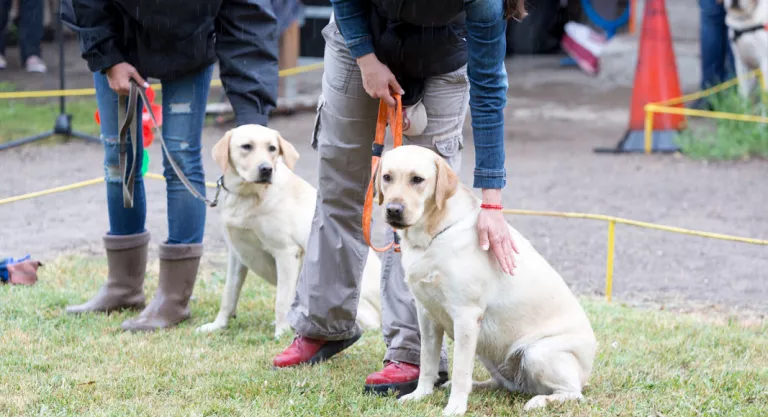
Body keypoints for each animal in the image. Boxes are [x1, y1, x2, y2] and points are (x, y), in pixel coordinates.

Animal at [195, 124, 380, 338]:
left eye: (272, 148)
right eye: (246, 146)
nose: (266, 169)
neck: (248, 195)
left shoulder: (286, 252)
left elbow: (281, 300)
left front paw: (281, 333)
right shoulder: (237, 254)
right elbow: (229, 294)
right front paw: (218, 325)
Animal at [376, 145, 596, 412]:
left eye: (417, 179)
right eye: (387, 177)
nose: (393, 210)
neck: (432, 236)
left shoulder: (466, 316)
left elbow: (460, 370)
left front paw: (455, 408)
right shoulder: (426, 315)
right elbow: (427, 361)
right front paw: (421, 394)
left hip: (536, 352)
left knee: (572, 393)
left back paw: (539, 401)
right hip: (488, 350)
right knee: (504, 384)